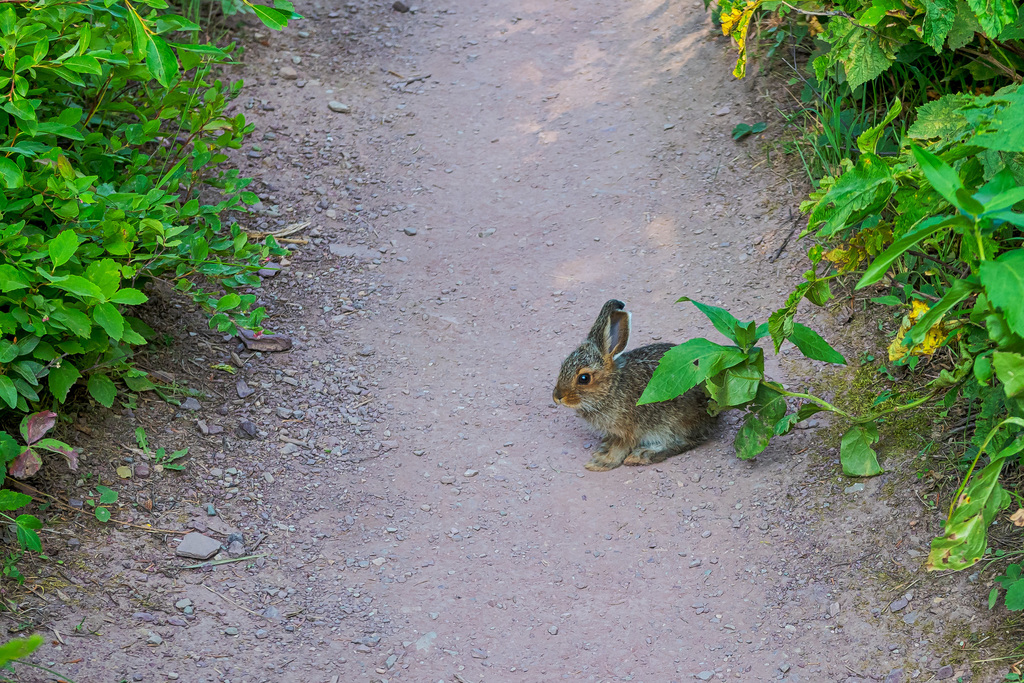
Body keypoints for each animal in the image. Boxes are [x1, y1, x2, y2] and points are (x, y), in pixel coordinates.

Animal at [552, 299, 716, 471]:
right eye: (563, 365)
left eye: (584, 378)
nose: (557, 397)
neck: (612, 388)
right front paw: (603, 449)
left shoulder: (628, 430)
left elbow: (621, 448)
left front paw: (601, 462)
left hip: (676, 423)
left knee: (685, 441)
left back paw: (643, 454)